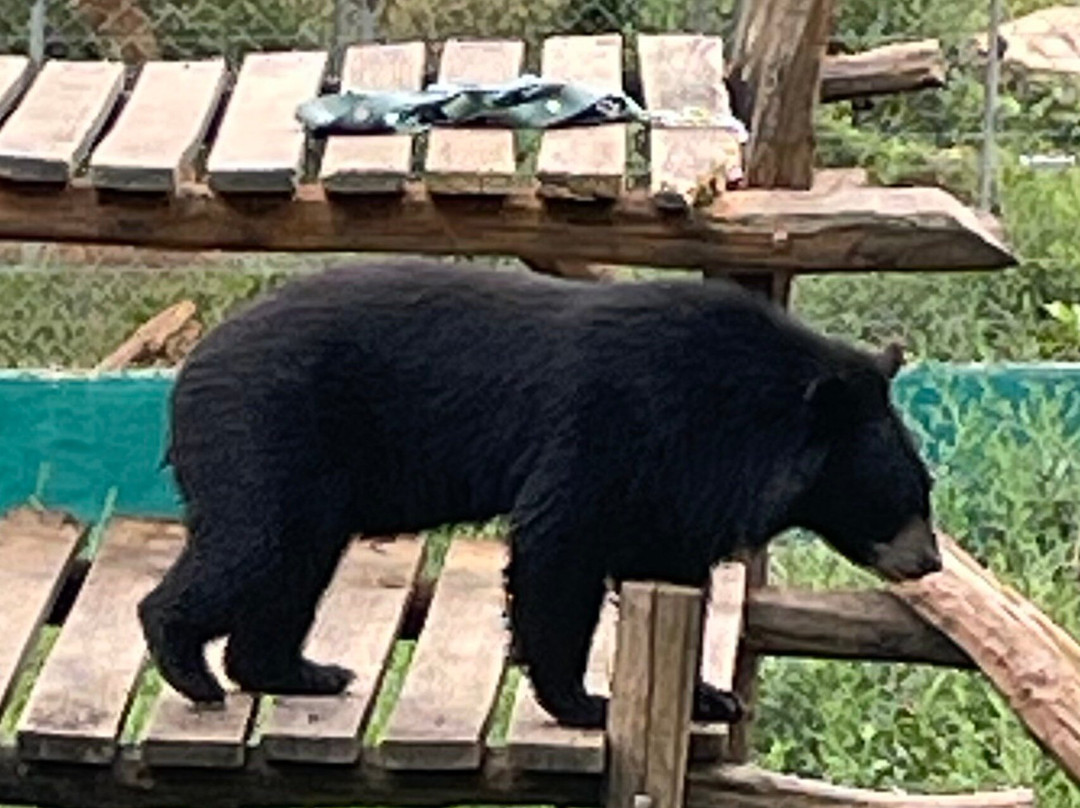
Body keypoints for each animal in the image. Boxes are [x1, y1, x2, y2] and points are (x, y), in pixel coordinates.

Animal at [138, 258, 942, 730]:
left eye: (924, 487)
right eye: (901, 494)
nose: (930, 561)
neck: (741, 415)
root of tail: (189, 368)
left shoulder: (679, 480)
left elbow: (664, 565)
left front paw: (710, 694)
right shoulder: (621, 422)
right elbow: (561, 545)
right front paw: (585, 702)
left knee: (292, 565)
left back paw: (300, 671)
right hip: (268, 430)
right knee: (252, 544)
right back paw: (190, 667)